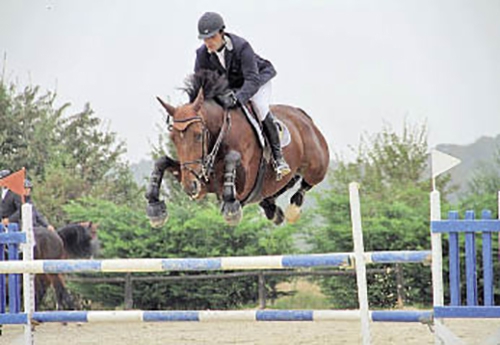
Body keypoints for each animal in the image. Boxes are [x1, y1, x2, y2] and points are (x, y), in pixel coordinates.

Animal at [146, 69, 330, 226]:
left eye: (198, 135)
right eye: (173, 138)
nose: (189, 187)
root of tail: (303, 116)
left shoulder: (244, 183)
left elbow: (232, 159)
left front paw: (231, 209)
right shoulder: (201, 182)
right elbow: (162, 161)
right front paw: (155, 208)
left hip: (317, 167)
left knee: (306, 183)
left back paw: (292, 210)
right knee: (287, 183)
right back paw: (272, 209)